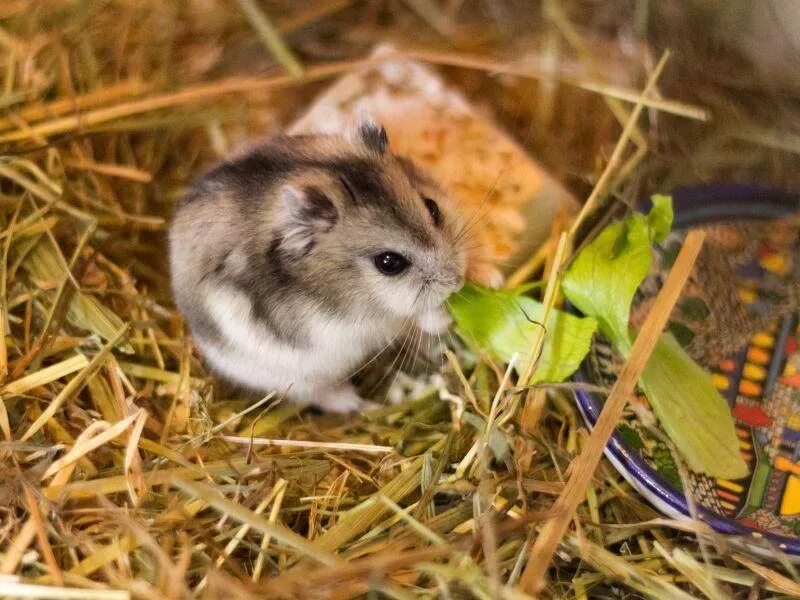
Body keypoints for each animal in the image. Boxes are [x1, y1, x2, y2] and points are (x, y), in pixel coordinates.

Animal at [169, 122, 468, 412]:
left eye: (432, 208)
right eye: (389, 263)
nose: (458, 282)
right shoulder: (356, 326)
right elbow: (402, 317)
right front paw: (445, 322)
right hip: (294, 378)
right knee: (321, 395)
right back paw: (362, 405)